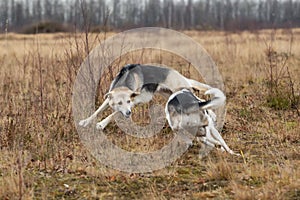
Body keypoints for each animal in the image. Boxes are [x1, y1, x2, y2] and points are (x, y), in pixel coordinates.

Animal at [78, 64, 212, 130]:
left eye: (128, 101)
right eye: (119, 103)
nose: (129, 113)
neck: (124, 83)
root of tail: (181, 76)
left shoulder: (133, 101)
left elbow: (113, 114)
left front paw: (101, 124)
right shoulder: (107, 100)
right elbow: (97, 111)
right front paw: (85, 122)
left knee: (200, 102)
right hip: (169, 95)